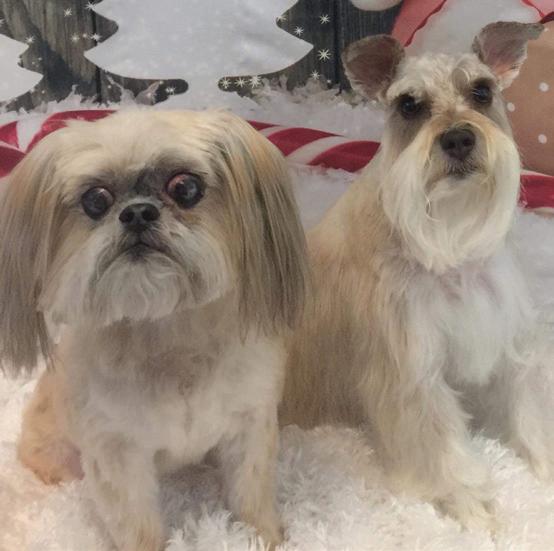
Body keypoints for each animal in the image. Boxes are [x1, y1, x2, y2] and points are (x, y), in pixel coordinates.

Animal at [0, 109, 308, 551]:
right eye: (95, 200)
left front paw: (263, 537)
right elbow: (137, 524)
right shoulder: (117, 454)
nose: (137, 213)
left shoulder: (250, 425)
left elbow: (251, 494)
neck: (170, 334)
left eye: (186, 187)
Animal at [280, 22, 554, 529]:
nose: (459, 139)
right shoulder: (411, 375)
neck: (450, 249)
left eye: (482, 91)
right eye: (409, 104)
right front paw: (474, 507)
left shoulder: (510, 349)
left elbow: (532, 418)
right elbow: (443, 449)